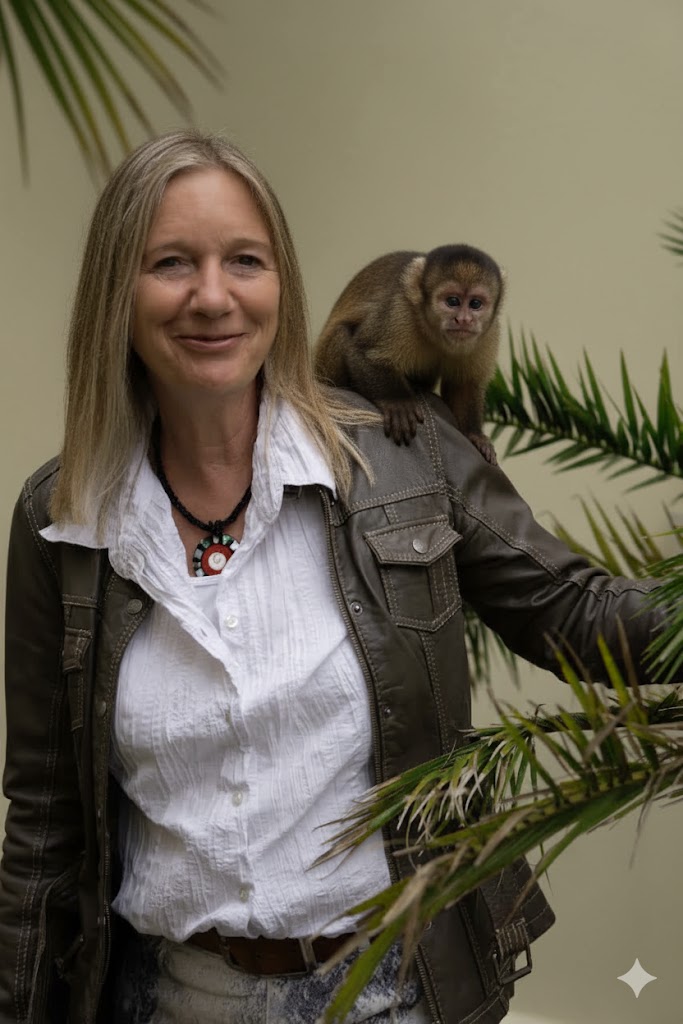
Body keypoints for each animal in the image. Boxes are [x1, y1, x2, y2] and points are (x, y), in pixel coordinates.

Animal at [314, 244, 504, 464]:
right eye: (453, 301)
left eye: (475, 304)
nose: (464, 320)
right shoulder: (400, 311)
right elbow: (362, 352)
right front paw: (398, 403)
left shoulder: (489, 333)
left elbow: (465, 385)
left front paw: (474, 435)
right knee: (343, 332)